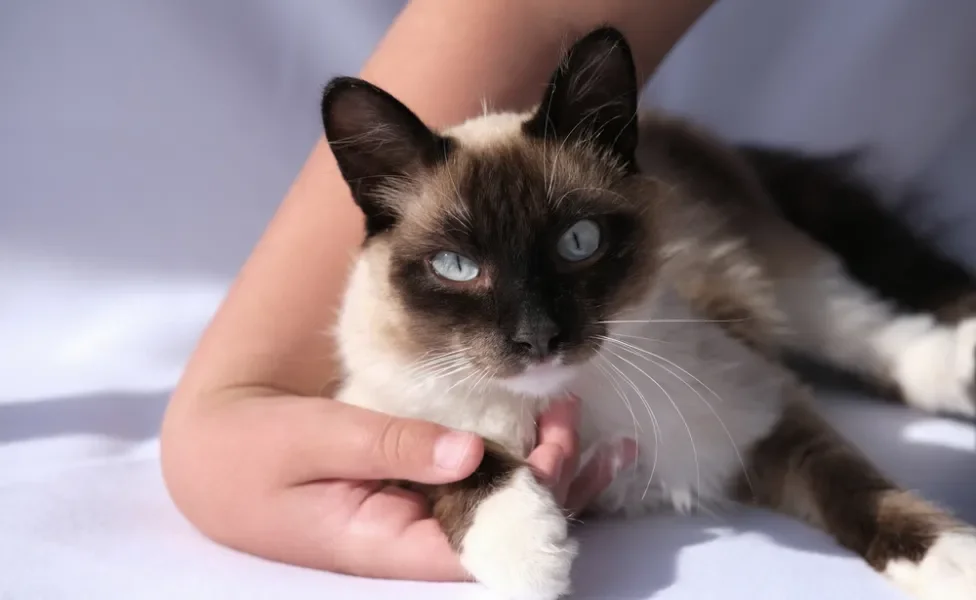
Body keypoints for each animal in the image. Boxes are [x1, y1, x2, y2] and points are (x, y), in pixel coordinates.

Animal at [322, 25, 976, 600]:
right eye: (456, 267)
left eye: (578, 241)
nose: (538, 337)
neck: (565, 401)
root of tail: (673, 121)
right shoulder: (375, 412)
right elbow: (458, 455)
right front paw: (529, 553)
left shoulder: (763, 414)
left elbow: (855, 486)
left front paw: (950, 563)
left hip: (791, 282)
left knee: (877, 333)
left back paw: (962, 367)